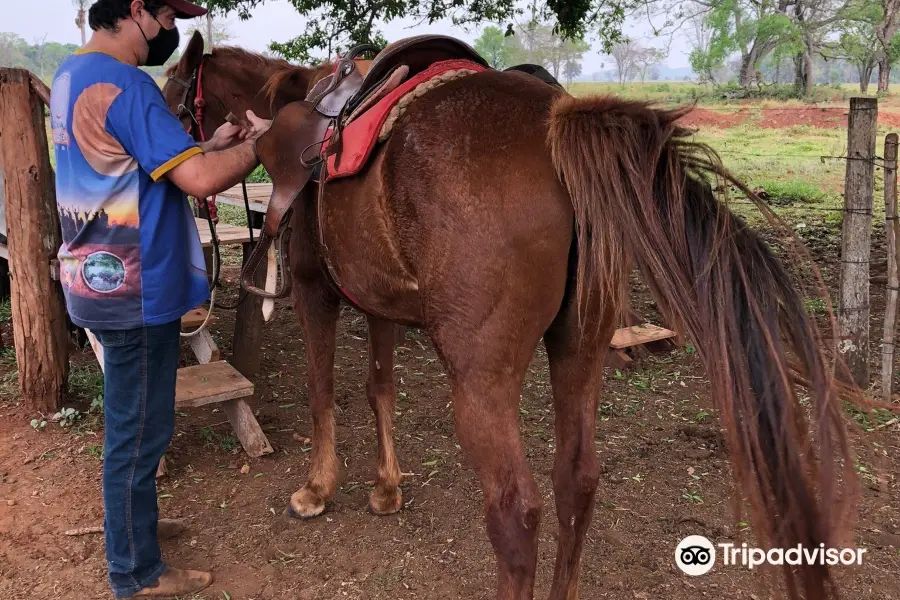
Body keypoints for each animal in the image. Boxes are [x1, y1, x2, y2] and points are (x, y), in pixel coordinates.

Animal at [165, 36, 860, 600]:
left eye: (174, 97)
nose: (174, 172)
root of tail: (556, 129)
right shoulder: (381, 300)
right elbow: (379, 387)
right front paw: (387, 488)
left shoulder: (316, 291)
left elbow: (323, 389)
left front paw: (316, 489)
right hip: (581, 348)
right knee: (576, 483)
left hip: (480, 378)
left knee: (515, 512)